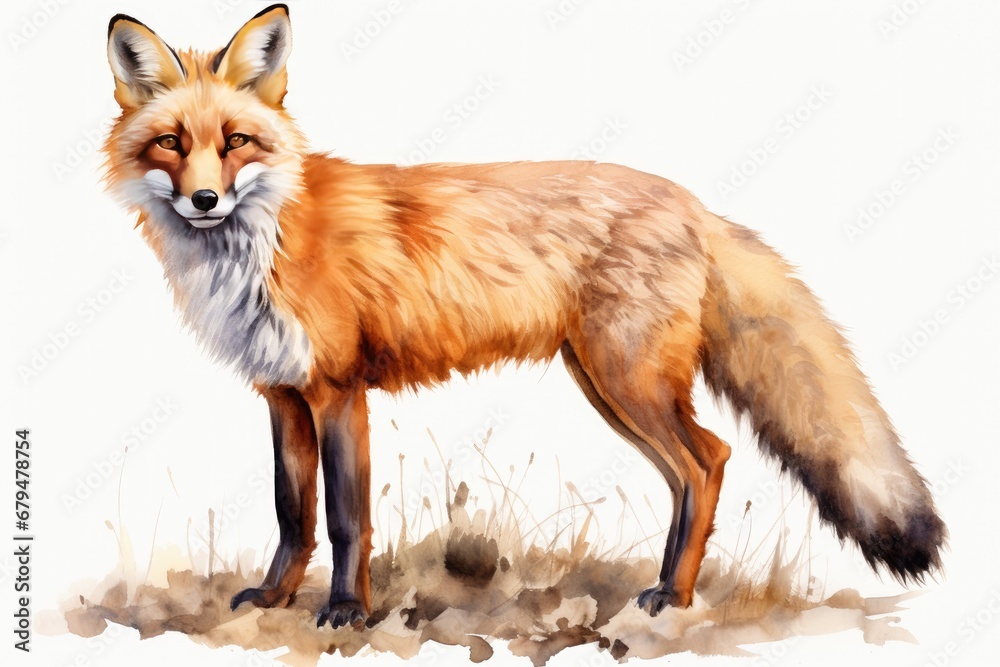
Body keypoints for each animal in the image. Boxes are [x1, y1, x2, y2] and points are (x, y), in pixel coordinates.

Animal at [103, 4, 945, 630]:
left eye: (236, 142)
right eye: (171, 142)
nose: (204, 200)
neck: (261, 246)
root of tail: (694, 204)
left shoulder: (339, 390)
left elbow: (344, 517)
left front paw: (346, 610)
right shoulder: (283, 392)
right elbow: (291, 512)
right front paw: (275, 597)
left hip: (625, 379)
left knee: (708, 459)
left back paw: (672, 596)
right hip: (606, 384)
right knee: (691, 470)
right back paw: (666, 587)